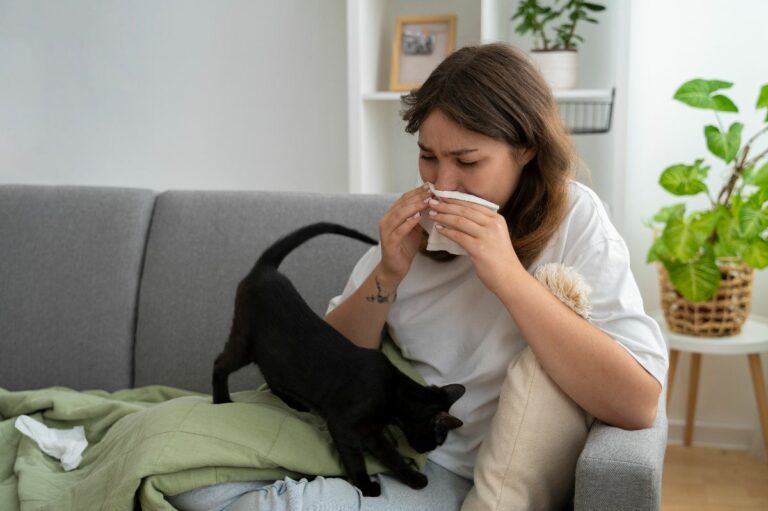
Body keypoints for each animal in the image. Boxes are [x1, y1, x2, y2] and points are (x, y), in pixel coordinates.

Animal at [212, 222, 462, 498]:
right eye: (438, 439)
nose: (425, 450)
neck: (393, 391)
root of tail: (266, 270)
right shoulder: (343, 425)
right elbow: (354, 457)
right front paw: (365, 485)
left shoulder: (372, 432)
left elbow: (391, 455)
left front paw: (412, 477)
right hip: (244, 341)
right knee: (220, 363)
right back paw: (221, 400)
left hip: (274, 356)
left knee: (272, 376)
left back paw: (294, 403)